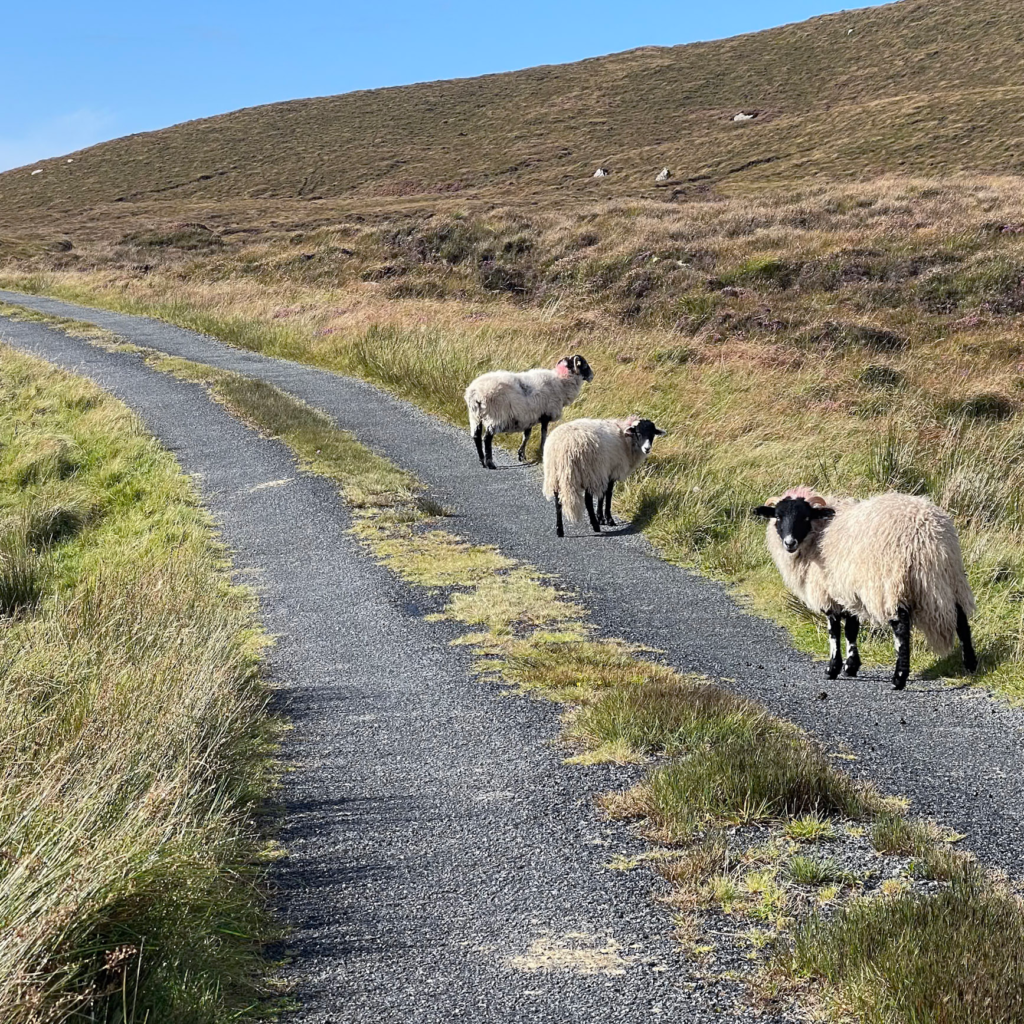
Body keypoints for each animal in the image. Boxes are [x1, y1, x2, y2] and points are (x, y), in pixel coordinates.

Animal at [464, 355, 594, 470]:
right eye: (584, 365)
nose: (592, 376)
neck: (562, 382)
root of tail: (475, 393)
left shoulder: (528, 417)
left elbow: (526, 436)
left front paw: (521, 454)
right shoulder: (545, 415)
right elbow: (543, 434)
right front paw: (541, 451)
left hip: (475, 416)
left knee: (476, 436)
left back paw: (482, 461)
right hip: (495, 416)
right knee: (487, 438)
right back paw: (490, 463)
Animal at [753, 486, 977, 689]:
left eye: (806, 517)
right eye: (778, 517)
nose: (789, 543)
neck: (819, 534)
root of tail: (929, 535)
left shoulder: (828, 593)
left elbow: (834, 631)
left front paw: (832, 668)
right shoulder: (848, 591)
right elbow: (851, 630)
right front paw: (851, 666)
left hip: (891, 583)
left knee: (901, 628)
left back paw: (899, 678)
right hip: (949, 578)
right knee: (961, 617)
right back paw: (970, 664)